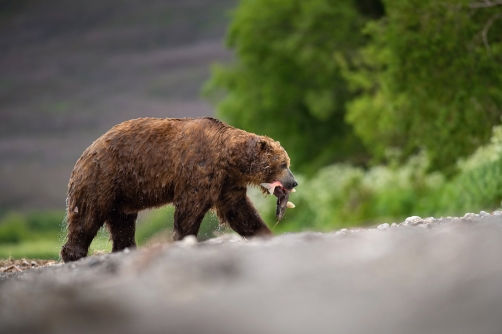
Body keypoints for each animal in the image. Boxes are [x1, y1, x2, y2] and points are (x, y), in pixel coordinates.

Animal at [61, 117, 298, 260]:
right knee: (87, 216)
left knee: (122, 223)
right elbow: (191, 207)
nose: (294, 182)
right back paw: (73, 254)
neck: (230, 159)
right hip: (103, 177)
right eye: (283, 164)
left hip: (121, 195)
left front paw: (265, 233)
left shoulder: (227, 182)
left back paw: (125, 248)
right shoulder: (199, 167)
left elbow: (240, 212)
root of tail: (87, 151)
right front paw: (183, 238)